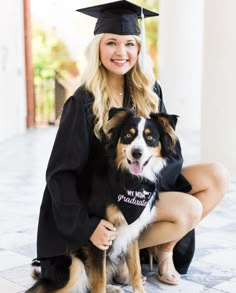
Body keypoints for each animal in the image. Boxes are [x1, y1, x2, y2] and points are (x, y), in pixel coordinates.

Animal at [26, 108, 178, 292]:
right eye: (128, 135)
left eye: (150, 138)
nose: (137, 153)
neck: (128, 180)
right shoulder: (99, 236)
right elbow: (99, 279)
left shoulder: (131, 230)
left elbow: (135, 270)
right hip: (74, 265)